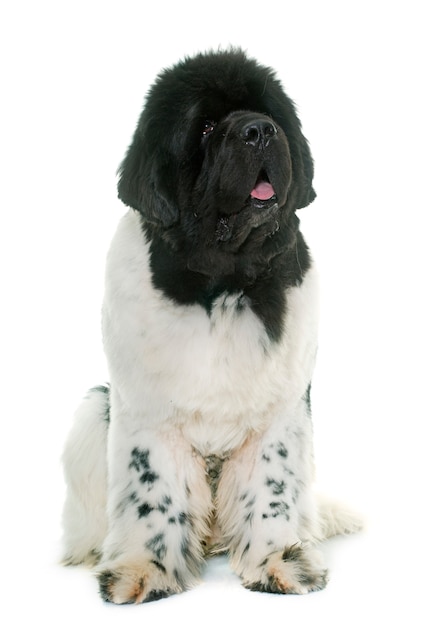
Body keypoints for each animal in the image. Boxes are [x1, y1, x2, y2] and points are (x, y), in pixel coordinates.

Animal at [61, 46, 362, 604]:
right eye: (204, 128)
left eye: (268, 112)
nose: (259, 130)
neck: (224, 283)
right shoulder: (149, 412)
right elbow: (152, 490)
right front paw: (143, 570)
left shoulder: (280, 412)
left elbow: (272, 488)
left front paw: (279, 561)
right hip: (94, 410)